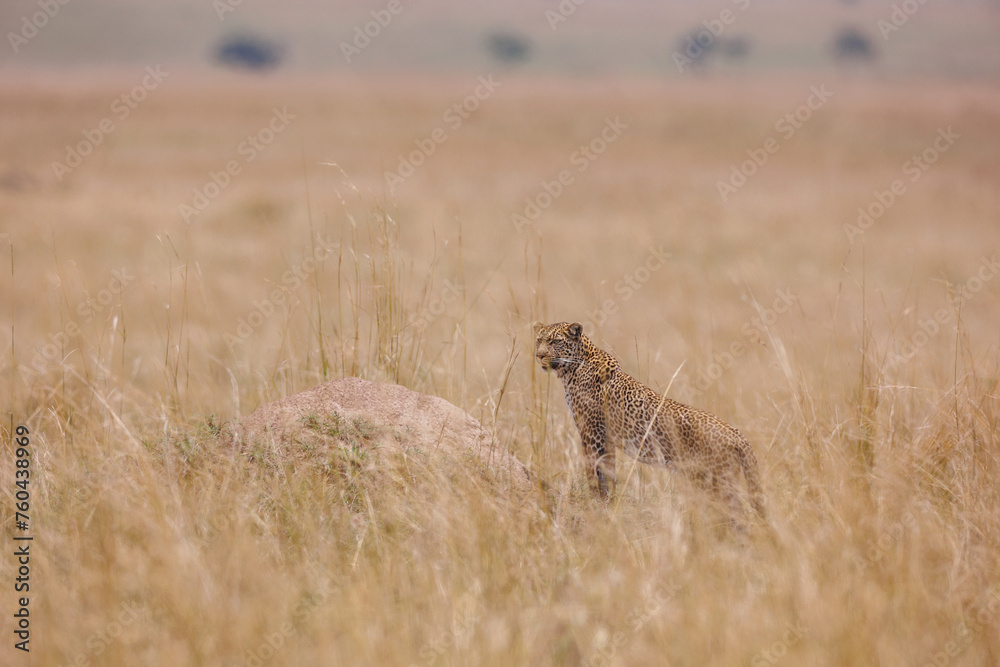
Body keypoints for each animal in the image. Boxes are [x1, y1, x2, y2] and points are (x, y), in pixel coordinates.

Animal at [534, 321, 764, 518]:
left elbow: (594, 473)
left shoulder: (592, 434)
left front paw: (594, 505)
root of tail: (737, 434)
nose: (539, 355)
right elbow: (608, 474)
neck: (571, 370)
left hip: (715, 481)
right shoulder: (606, 439)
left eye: (555, 341)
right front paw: (609, 504)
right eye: (539, 340)